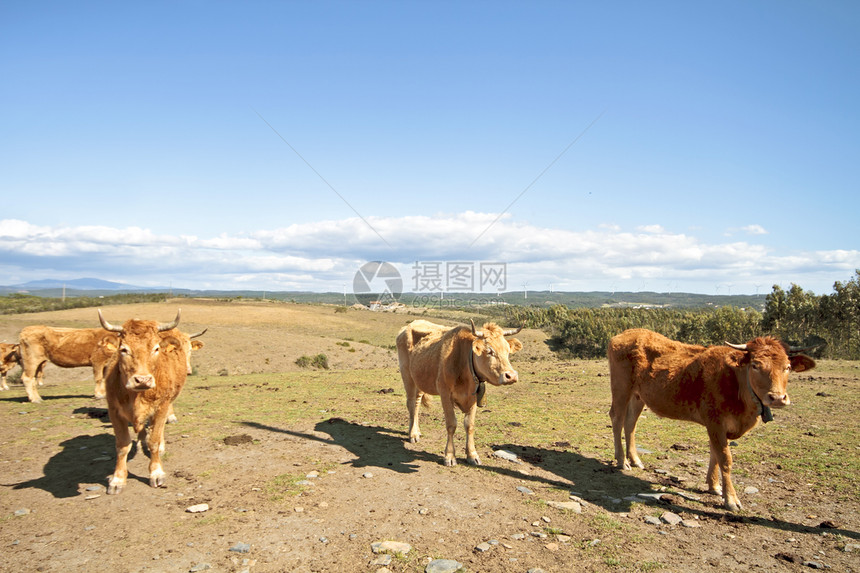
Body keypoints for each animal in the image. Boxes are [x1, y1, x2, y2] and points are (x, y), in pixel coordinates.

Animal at [100, 308, 189, 492]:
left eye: (156, 348)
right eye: (123, 349)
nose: (142, 380)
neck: (136, 396)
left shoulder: (161, 407)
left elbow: (153, 440)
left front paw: (156, 473)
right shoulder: (114, 411)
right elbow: (122, 445)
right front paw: (117, 479)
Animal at [608, 326, 816, 510]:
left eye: (787, 367)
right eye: (755, 365)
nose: (778, 398)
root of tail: (625, 334)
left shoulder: (717, 427)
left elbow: (715, 454)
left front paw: (714, 486)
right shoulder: (715, 423)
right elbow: (725, 459)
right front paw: (731, 499)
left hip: (638, 396)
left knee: (630, 423)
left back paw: (635, 459)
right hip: (621, 389)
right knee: (617, 418)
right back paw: (622, 461)